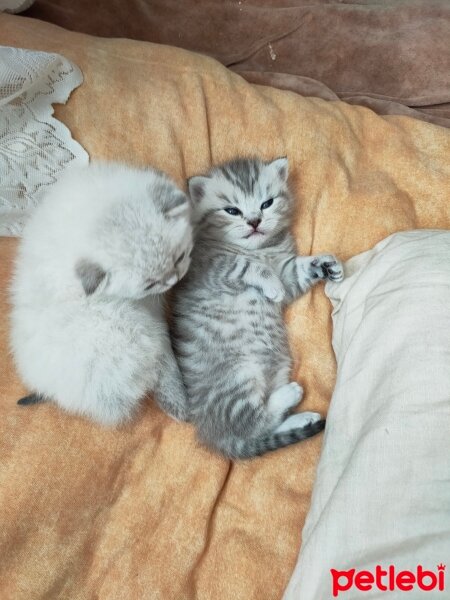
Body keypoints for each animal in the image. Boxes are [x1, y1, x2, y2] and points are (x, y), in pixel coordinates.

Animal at [10, 163, 193, 426]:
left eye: (179, 258)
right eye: (150, 284)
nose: (173, 281)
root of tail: (52, 392)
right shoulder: (147, 307)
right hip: (131, 329)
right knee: (160, 361)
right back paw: (177, 402)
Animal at [172, 157, 344, 458]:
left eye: (267, 203)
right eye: (232, 210)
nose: (254, 221)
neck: (260, 249)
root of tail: (216, 436)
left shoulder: (288, 273)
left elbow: (296, 272)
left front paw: (324, 264)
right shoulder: (208, 267)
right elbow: (247, 265)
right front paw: (269, 283)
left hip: (278, 366)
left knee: (261, 429)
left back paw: (300, 417)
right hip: (239, 378)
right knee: (253, 421)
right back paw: (290, 395)